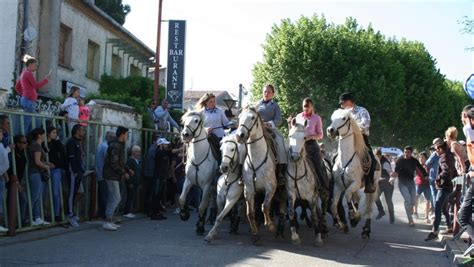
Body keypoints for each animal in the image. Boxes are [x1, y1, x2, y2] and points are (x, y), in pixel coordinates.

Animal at [236, 107, 278, 245]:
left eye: (252, 117)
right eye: (240, 116)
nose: (240, 135)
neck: (256, 159)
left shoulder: (271, 187)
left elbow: (265, 206)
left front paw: (270, 226)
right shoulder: (249, 189)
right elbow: (250, 212)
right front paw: (255, 233)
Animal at [326, 110, 382, 240]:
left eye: (344, 118)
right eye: (332, 118)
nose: (330, 130)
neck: (345, 161)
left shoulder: (355, 183)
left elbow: (347, 195)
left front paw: (353, 215)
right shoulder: (338, 185)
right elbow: (333, 205)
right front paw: (341, 225)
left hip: (372, 187)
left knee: (369, 208)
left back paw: (366, 230)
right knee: (357, 198)